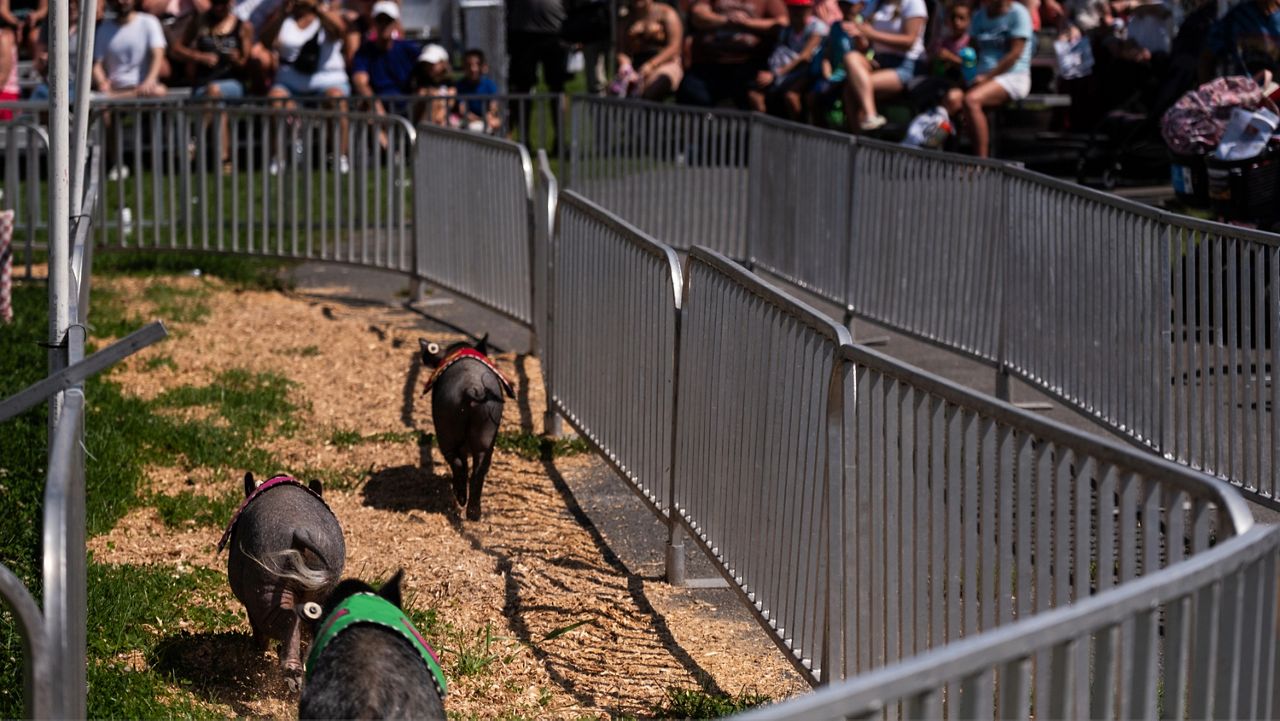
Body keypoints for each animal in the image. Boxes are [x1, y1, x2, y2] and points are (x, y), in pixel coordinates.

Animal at [422, 335, 517, 522]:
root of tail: (470, 389)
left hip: (446, 430)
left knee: (458, 464)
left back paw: (461, 500)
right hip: (486, 431)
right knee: (478, 472)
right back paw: (474, 514)